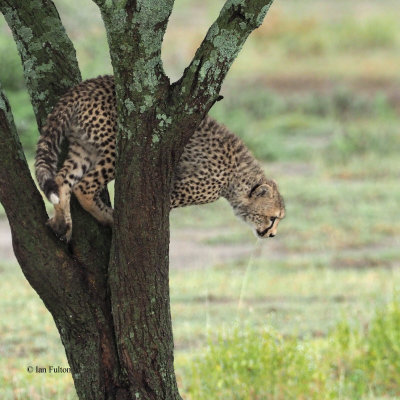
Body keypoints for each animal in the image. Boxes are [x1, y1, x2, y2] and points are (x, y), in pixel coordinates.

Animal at [34, 77, 284, 242]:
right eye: (273, 218)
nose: (272, 235)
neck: (238, 180)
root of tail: (87, 83)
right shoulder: (176, 188)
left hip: (83, 148)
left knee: (62, 180)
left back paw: (61, 224)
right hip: (117, 148)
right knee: (84, 186)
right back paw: (108, 217)